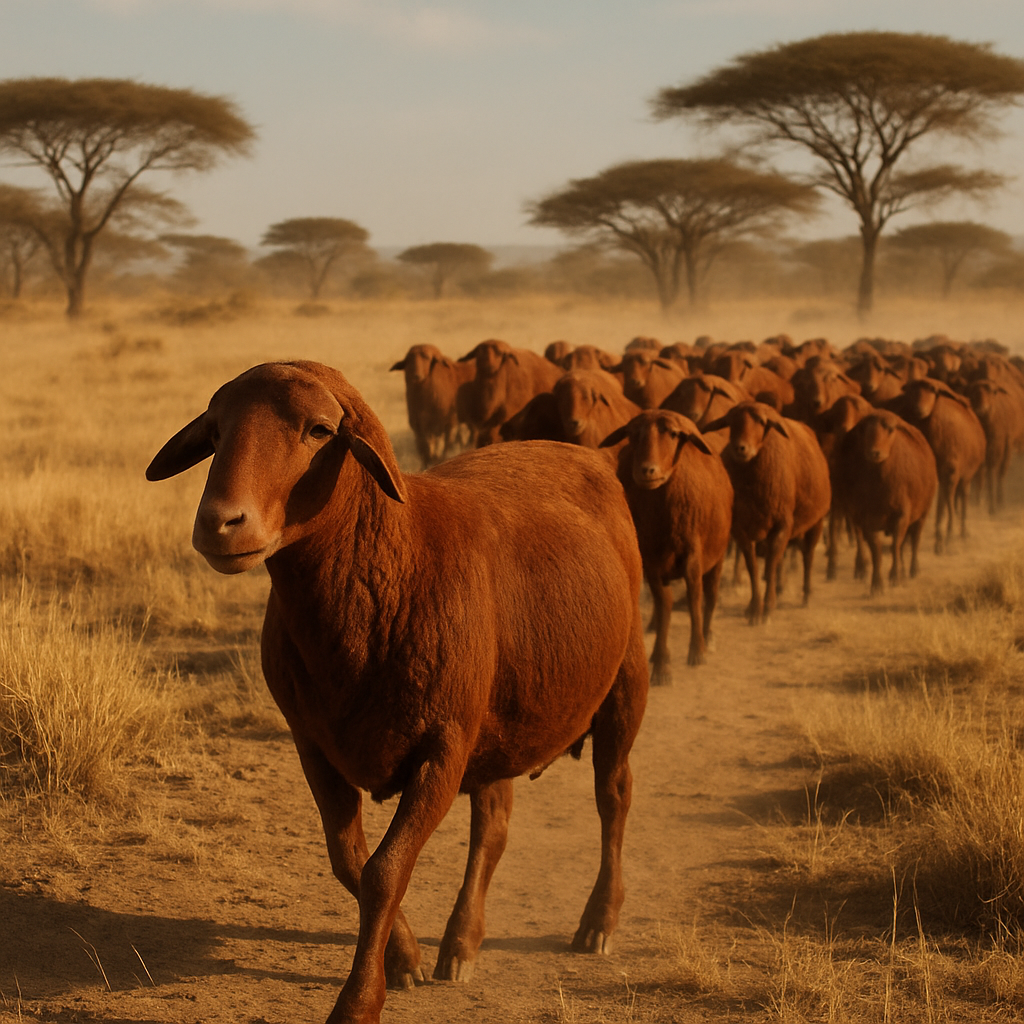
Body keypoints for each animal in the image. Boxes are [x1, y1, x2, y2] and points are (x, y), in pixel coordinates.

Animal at [146, 360, 649, 1024]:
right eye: (215, 430)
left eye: (319, 429)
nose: (219, 523)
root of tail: (579, 452)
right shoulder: (314, 744)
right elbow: (349, 859)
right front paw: (406, 957)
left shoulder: (442, 749)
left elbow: (386, 870)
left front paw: (359, 1002)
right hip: (497, 718)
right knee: (494, 826)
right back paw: (462, 943)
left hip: (622, 684)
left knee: (613, 798)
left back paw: (598, 922)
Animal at [600, 410, 733, 682]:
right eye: (633, 434)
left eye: (673, 434)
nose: (647, 470)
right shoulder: (651, 562)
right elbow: (664, 607)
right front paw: (661, 664)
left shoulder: (693, 555)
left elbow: (694, 599)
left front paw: (697, 651)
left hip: (718, 556)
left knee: (711, 594)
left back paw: (708, 636)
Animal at [701, 401, 831, 623]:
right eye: (731, 421)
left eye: (762, 422)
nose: (740, 448)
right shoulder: (741, 529)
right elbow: (753, 567)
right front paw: (754, 608)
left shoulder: (782, 524)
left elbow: (770, 565)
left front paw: (768, 607)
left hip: (816, 521)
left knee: (808, 556)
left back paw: (806, 595)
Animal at [834, 411, 938, 594]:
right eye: (864, 430)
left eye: (890, 429)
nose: (875, 453)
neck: (881, 487)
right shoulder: (866, 518)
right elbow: (876, 550)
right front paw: (877, 584)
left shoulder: (902, 515)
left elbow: (896, 545)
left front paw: (895, 577)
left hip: (922, 514)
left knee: (915, 540)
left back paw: (913, 570)